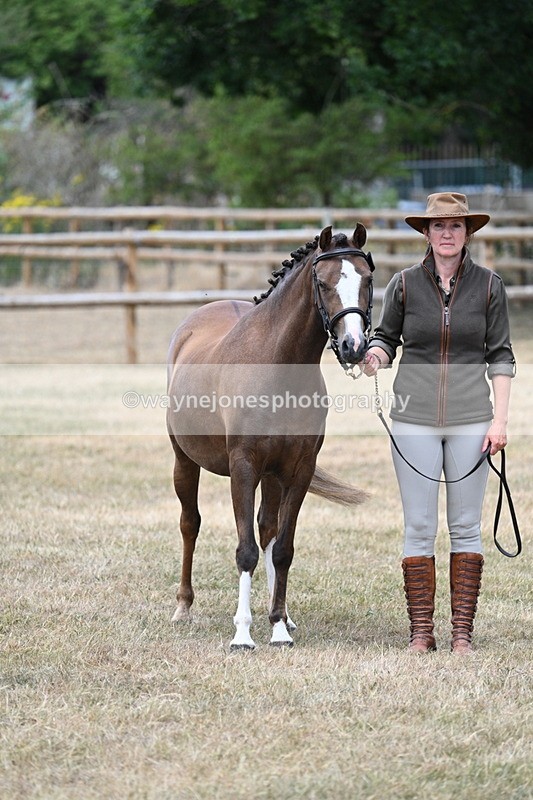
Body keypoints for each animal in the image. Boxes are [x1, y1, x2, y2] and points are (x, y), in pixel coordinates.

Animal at [166, 224, 374, 649]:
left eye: (367, 279)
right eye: (324, 283)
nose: (353, 346)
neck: (277, 363)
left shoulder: (297, 469)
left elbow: (282, 549)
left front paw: (277, 625)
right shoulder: (243, 467)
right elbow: (245, 549)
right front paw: (242, 634)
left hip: (273, 476)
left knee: (268, 532)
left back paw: (283, 616)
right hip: (185, 462)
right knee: (190, 524)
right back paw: (183, 607)